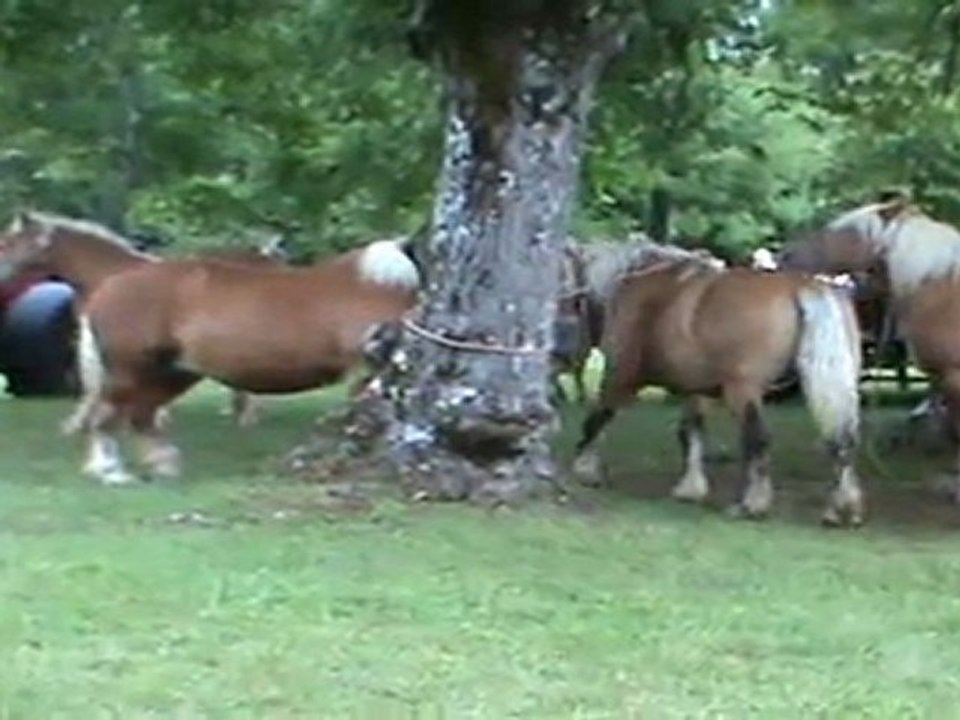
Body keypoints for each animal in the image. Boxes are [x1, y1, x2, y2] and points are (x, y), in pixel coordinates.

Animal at [68, 236, 419, 485]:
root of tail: (109, 288)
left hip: (172, 374)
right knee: (107, 417)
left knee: (140, 416)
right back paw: (113, 473)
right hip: (131, 372)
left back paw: (164, 465)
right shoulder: (368, 370)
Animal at [571, 242, 865, 526]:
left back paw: (751, 505)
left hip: (742, 391)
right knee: (843, 440)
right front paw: (690, 489)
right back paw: (842, 510)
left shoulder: (621, 376)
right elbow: (690, 432)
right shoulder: (696, 391)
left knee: (758, 439)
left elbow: (597, 419)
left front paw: (585, 470)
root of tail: (801, 286)